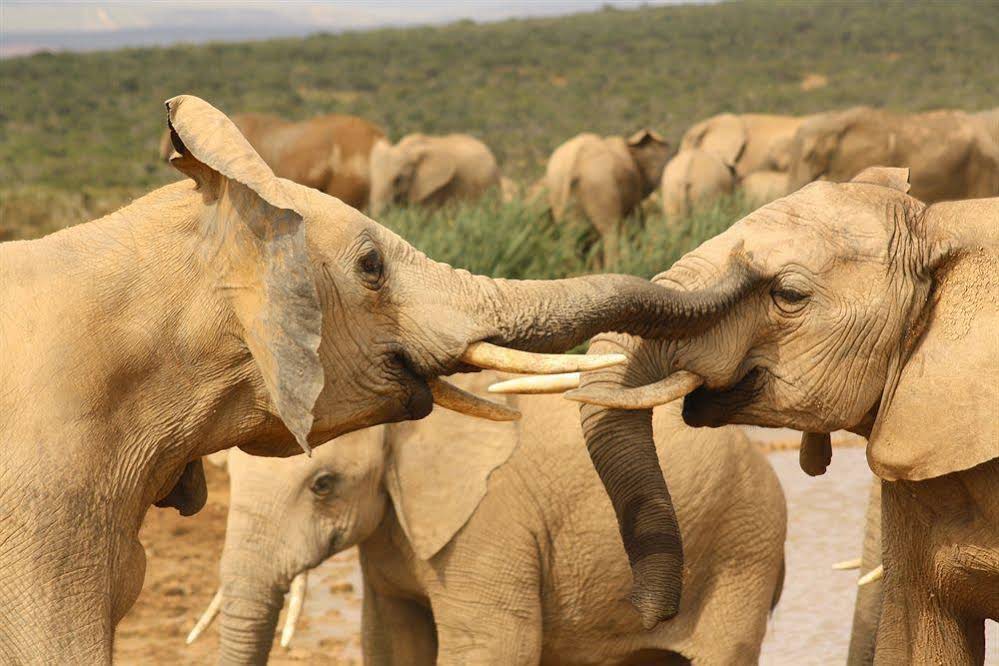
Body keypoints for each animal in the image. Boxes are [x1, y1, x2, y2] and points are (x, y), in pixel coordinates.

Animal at [545, 130, 672, 267]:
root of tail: (574, 162)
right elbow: (635, 224)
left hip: (559, 189)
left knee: (571, 236)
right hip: (601, 185)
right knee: (610, 233)